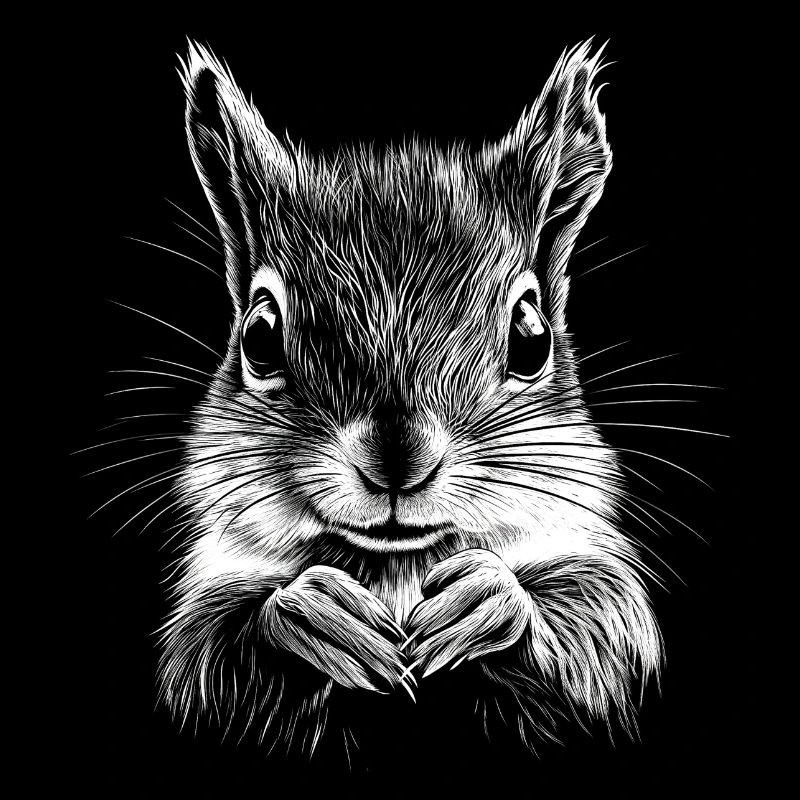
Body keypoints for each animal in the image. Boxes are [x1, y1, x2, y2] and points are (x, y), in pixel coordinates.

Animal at [155, 39, 662, 760]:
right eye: (258, 335)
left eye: (532, 337)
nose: (398, 463)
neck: (396, 566)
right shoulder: (214, 599)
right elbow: (204, 660)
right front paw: (314, 615)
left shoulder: (590, 576)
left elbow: (604, 641)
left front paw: (486, 602)